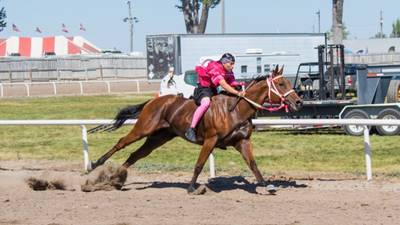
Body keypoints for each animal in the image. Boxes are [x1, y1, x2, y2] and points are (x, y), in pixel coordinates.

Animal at [89, 65, 302, 193]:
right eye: (281, 83)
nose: (299, 102)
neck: (236, 109)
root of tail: (154, 100)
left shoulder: (242, 141)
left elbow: (253, 165)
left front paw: (267, 185)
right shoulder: (210, 140)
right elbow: (199, 164)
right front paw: (192, 187)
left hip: (159, 137)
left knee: (136, 155)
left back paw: (116, 178)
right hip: (144, 128)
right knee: (121, 143)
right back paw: (96, 164)